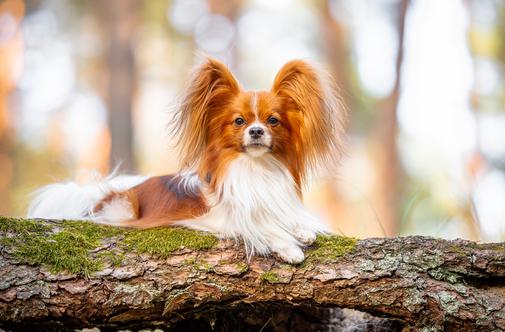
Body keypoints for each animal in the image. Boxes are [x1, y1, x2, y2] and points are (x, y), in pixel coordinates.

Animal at [27, 58, 346, 264]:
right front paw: (288, 246)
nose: (256, 131)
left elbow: (282, 218)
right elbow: (259, 225)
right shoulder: (220, 217)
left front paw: (300, 229)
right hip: (122, 209)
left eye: (273, 121)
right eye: (239, 121)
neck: (254, 168)